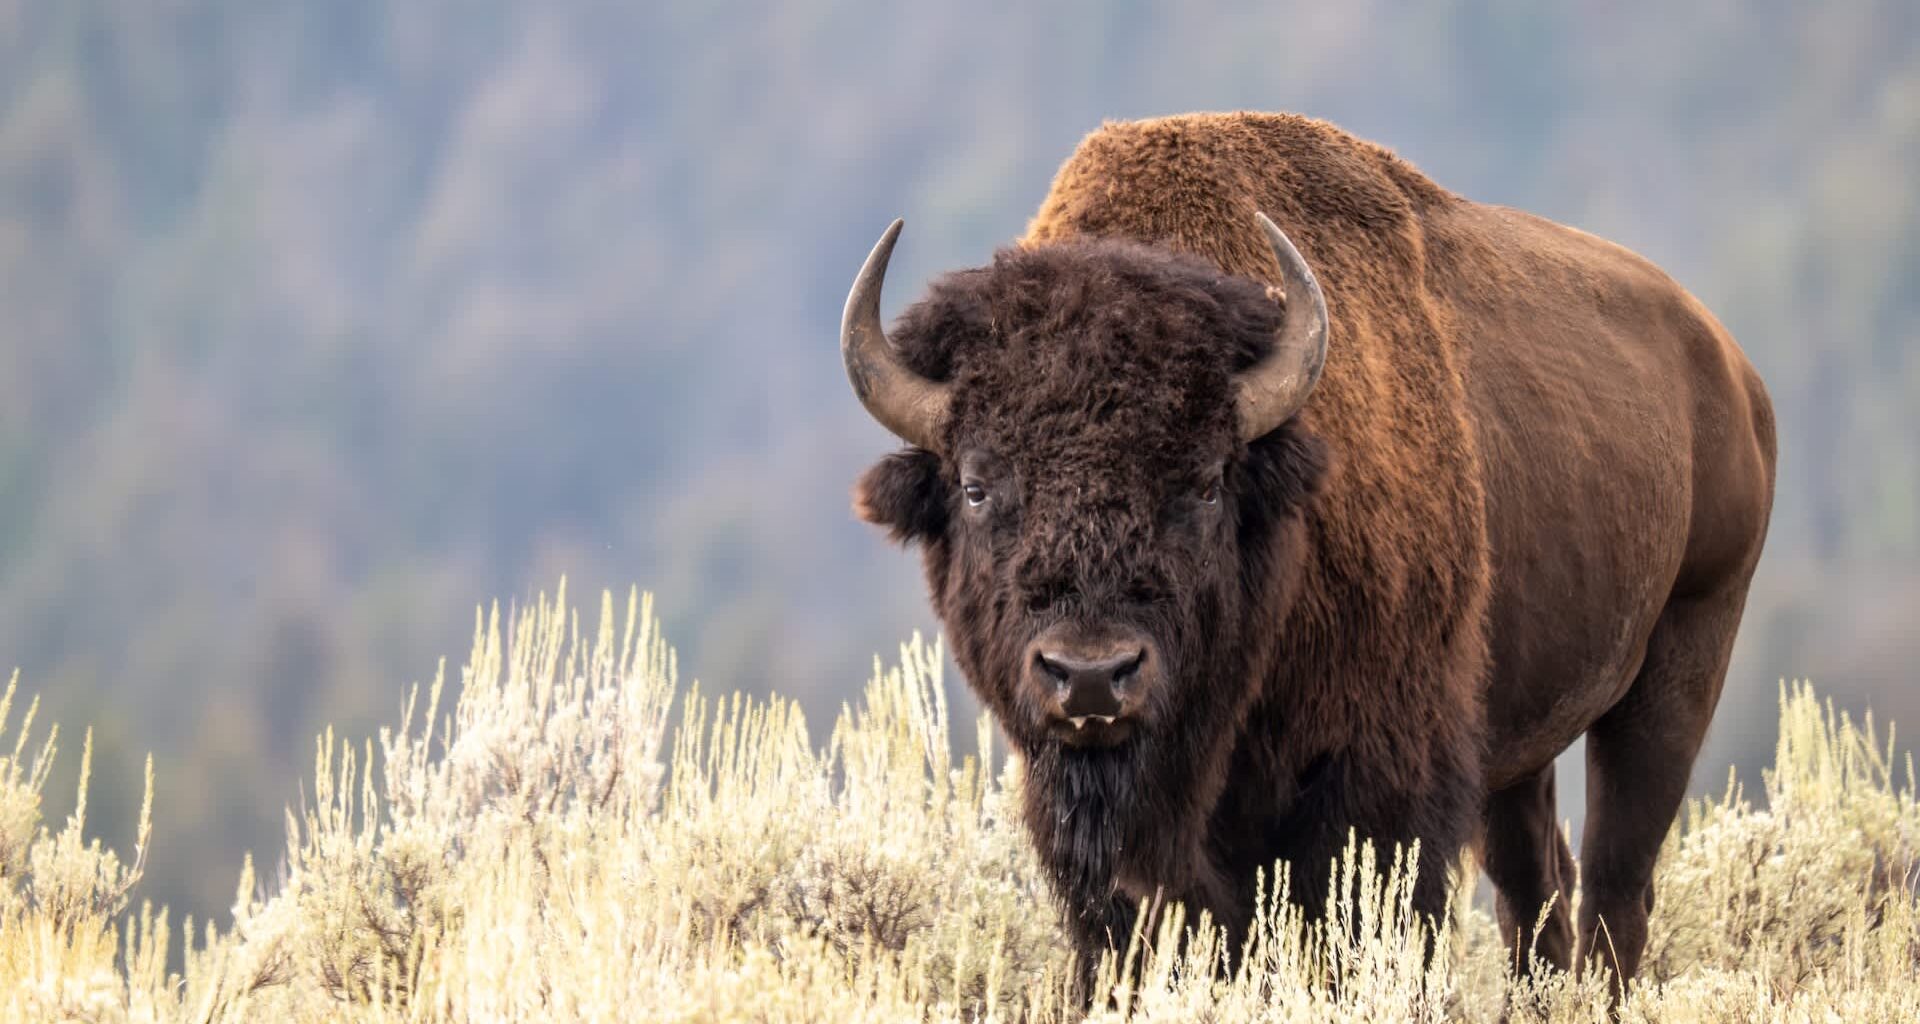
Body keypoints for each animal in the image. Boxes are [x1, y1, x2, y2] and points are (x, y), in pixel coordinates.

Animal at [842, 112, 1775, 992]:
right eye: (975, 486)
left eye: (1206, 483)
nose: (1092, 676)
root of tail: (1731, 370)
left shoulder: (1379, 784)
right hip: (1522, 739)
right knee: (1535, 888)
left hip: (1682, 659)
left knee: (1618, 888)